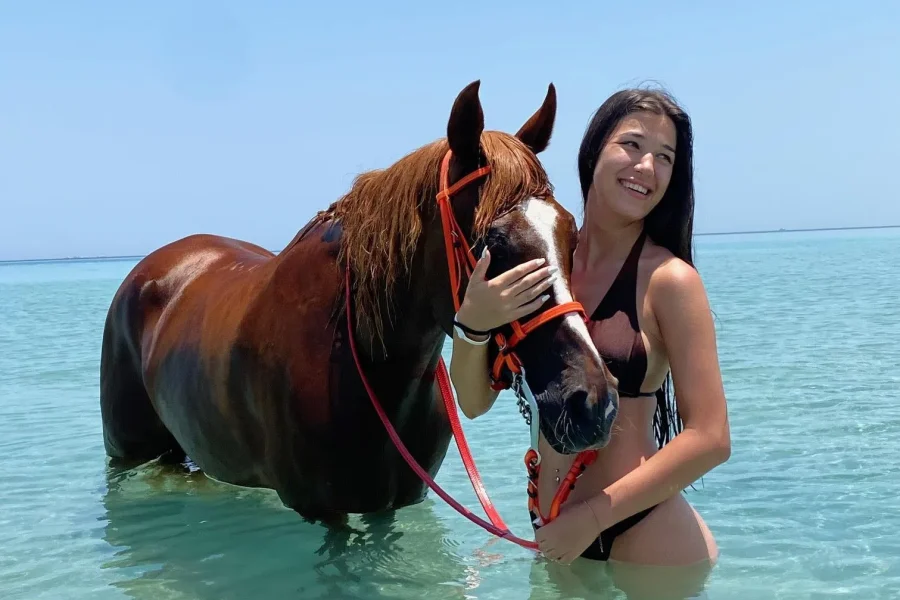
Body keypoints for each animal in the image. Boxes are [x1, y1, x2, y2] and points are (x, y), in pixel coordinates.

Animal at [99, 80, 620, 525]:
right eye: (494, 240)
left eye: (571, 233)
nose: (593, 402)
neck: (367, 365)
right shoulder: (321, 511)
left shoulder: (394, 502)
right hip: (126, 452)